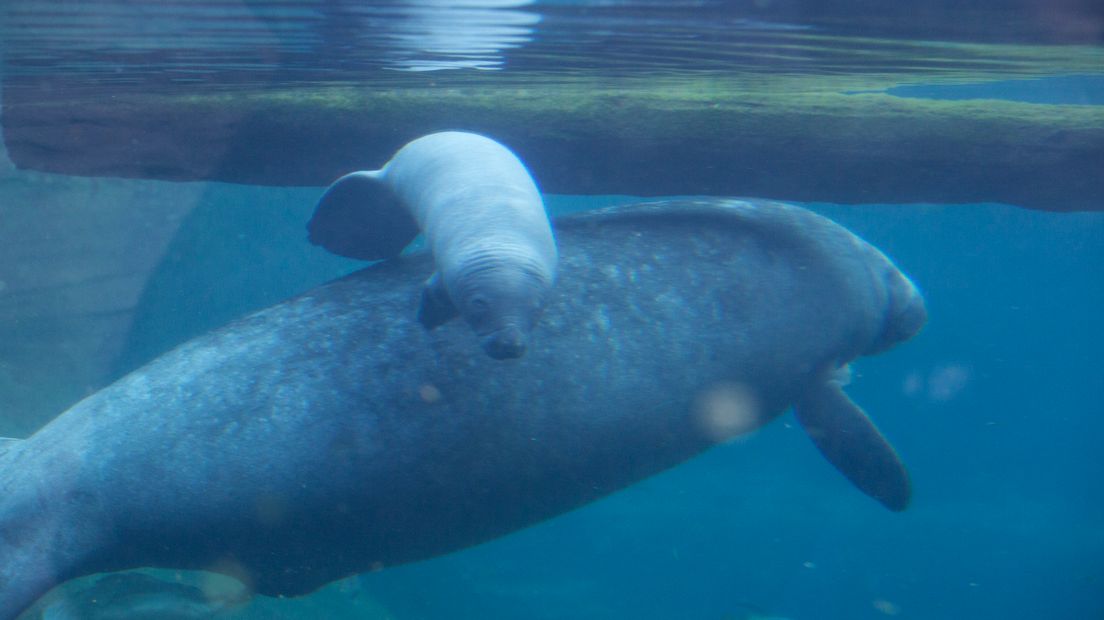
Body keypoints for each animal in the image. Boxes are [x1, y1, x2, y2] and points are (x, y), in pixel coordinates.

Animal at [0, 198, 922, 617]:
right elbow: (847, 427)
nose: (915, 302)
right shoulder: (814, 364)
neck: (853, 280)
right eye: (885, 266)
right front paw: (899, 491)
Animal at [309, 132, 552, 359]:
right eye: (479, 303)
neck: (503, 238)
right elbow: (435, 290)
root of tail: (385, 173)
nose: (508, 346)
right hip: (390, 179)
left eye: (535, 308)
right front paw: (427, 320)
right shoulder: (450, 266)